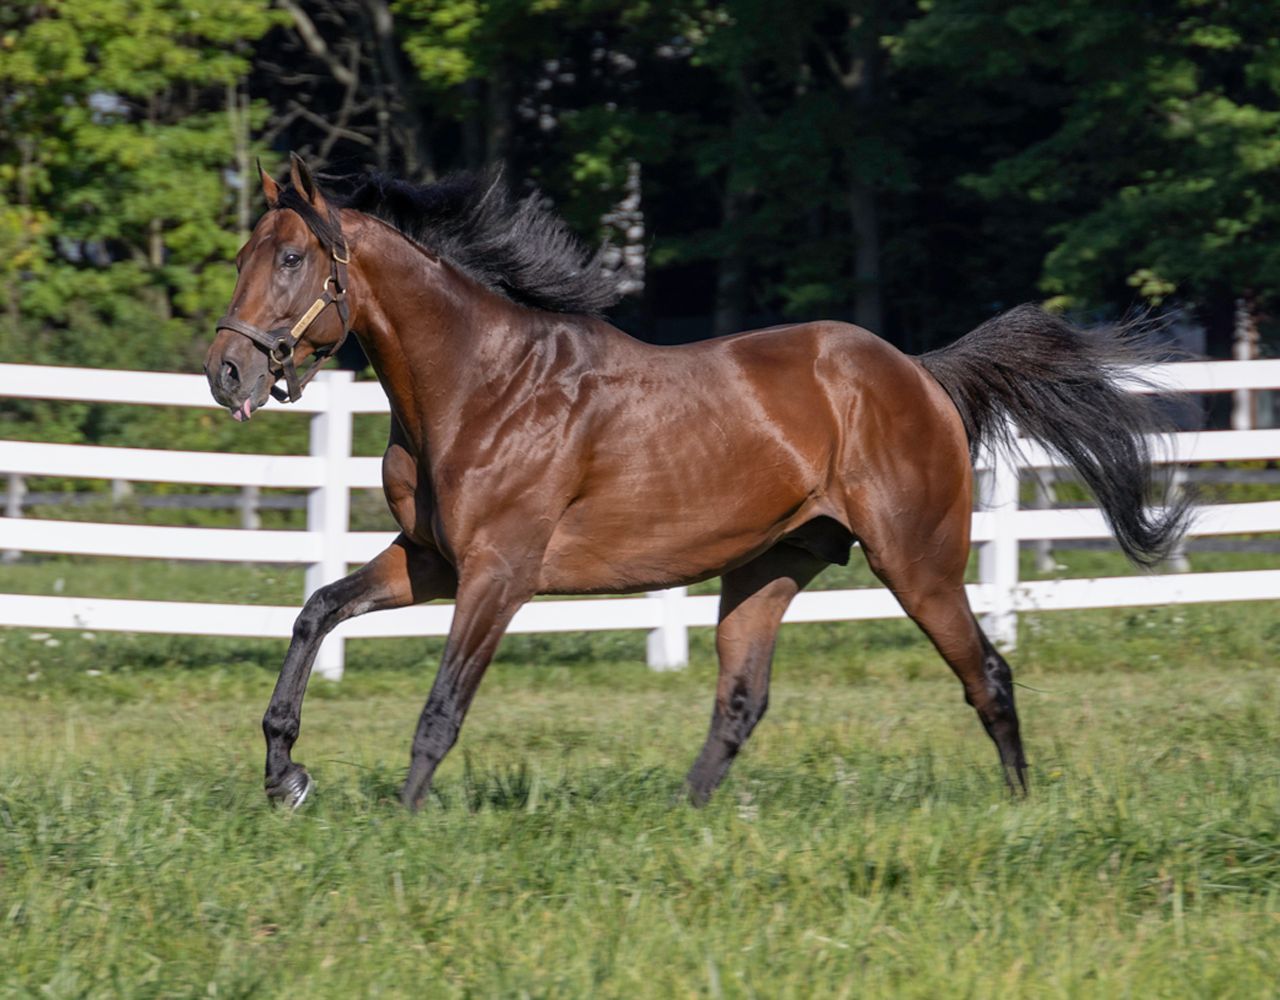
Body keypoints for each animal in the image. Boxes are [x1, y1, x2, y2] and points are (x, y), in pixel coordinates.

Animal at [205, 154, 1189, 811]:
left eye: (291, 259)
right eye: (245, 254)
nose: (226, 371)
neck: (480, 384)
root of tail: (920, 372)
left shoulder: (499, 573)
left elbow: (443, 705)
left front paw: (403, 817)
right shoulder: (431, 560)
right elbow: (316, 611)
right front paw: (286, 774)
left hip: (916, 562)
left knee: (987, 672)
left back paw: (1021, 807)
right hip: (771, 565)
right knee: (742, 701)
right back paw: (686, 814)